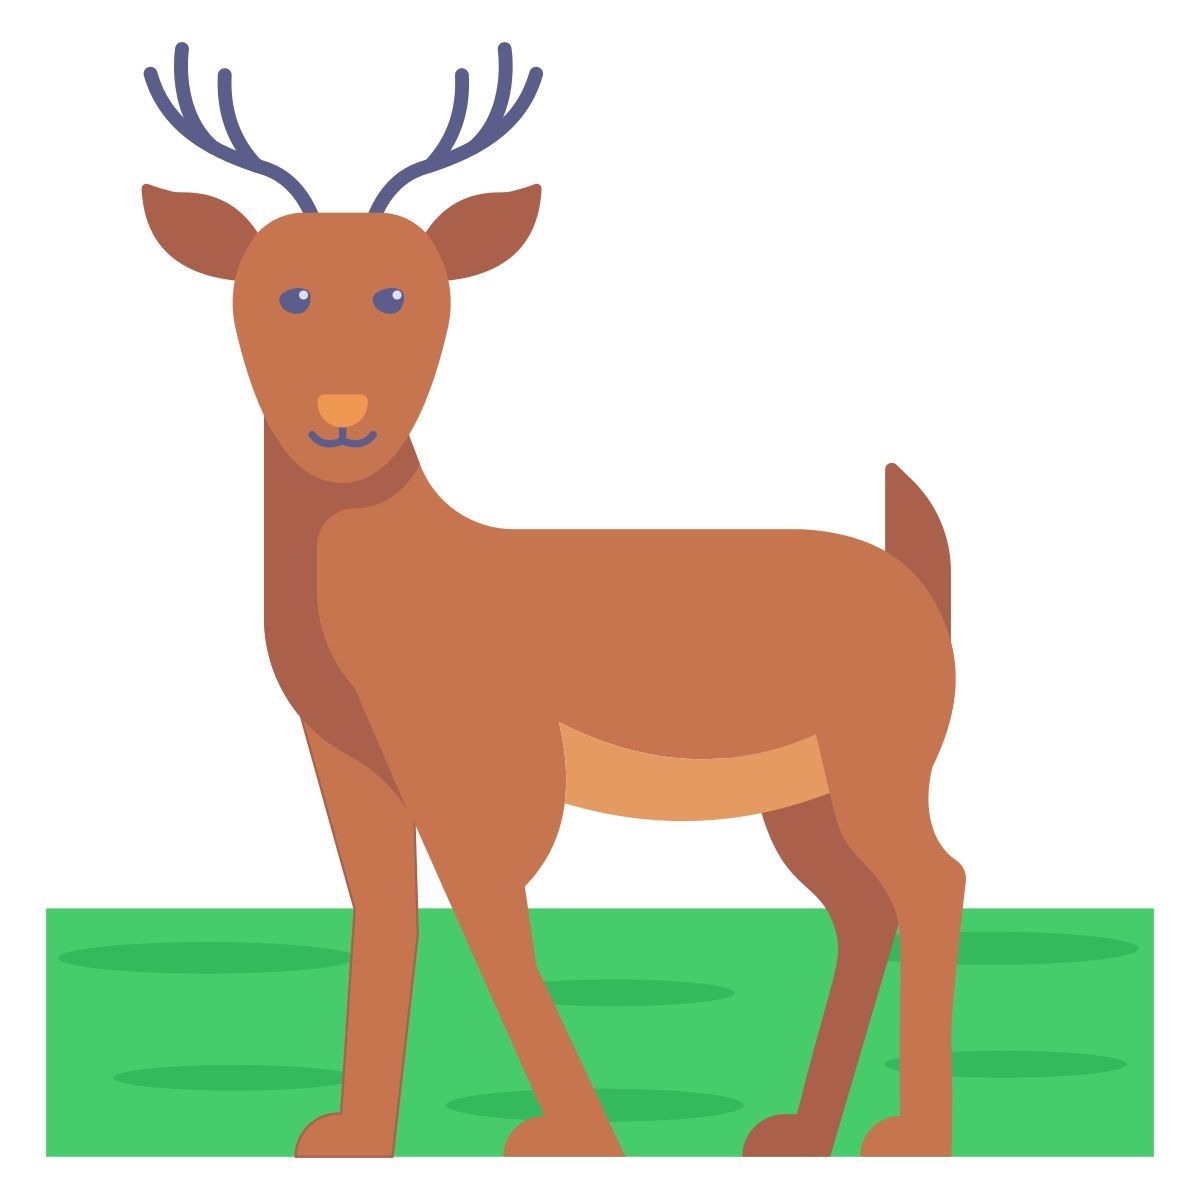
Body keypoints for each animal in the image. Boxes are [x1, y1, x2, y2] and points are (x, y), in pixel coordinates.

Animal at [140, 41, 964, 1158]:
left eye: (403, 294)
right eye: (285, 293)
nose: (342, 422)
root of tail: (920, 578)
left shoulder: (485, 769)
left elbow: (491, 914)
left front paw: (574, 1137)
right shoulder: (351, 761)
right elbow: (384, 912)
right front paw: (356, 1138)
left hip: (881, 770)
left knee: (933, 884)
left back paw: (914, 1136)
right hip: (806, 801)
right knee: (862, 908)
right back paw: (801, 1132)